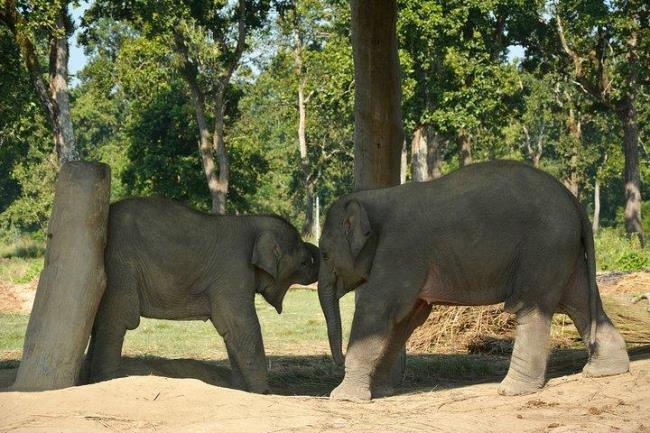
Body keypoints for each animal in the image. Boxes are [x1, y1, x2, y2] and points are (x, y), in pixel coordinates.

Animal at [86, 197, 318, 394]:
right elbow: (241, 325)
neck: (252, 220)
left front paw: (240, 391)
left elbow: (231, 330)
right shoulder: (233, 270)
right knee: (116, 320)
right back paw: (105, 381)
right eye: (304, 263)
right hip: (120, 266)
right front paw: (261, 393)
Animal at [318, 160, 628, 400]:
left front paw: (344, 397)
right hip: (564, 250)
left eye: (324, 254)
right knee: (580, 302)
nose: (337, 361)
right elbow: (407, 318)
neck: (375, 198)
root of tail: (574, 201)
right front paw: (380, 391)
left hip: (545, 247)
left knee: (531, 306)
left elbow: (378, 309)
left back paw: (512, 390)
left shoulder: (401, 249)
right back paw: (605, 371)